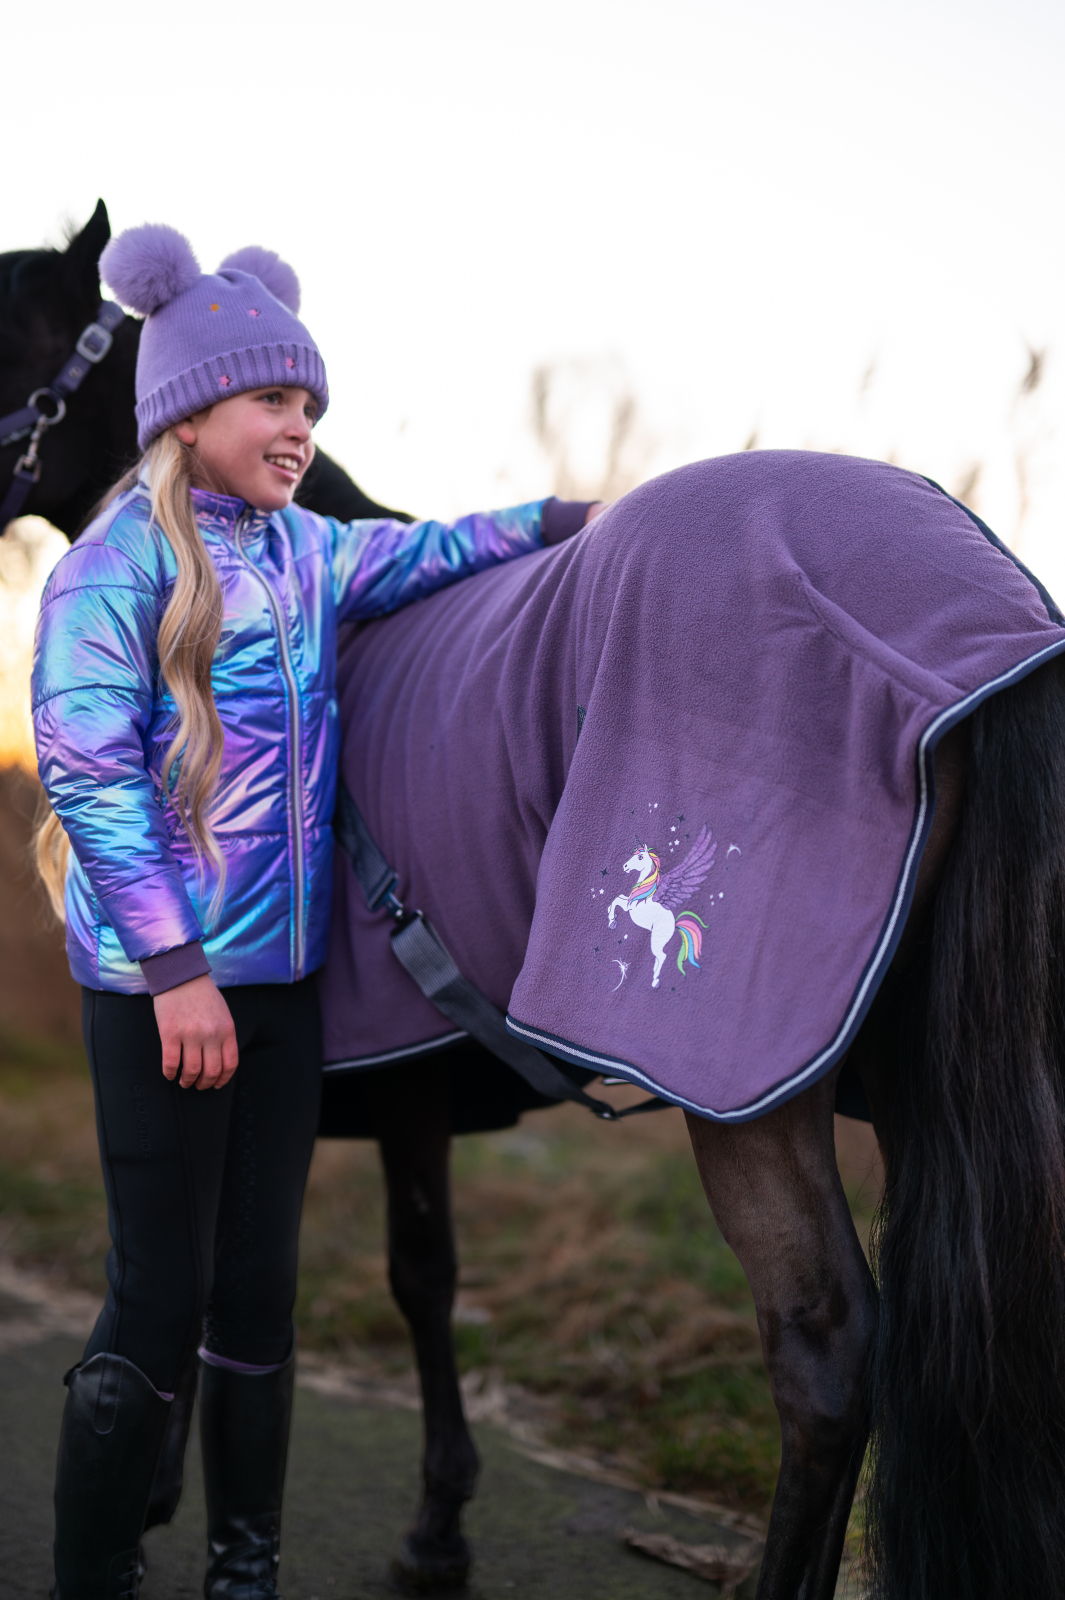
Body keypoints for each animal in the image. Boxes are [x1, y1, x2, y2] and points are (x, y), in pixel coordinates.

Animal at [318, 449, 1065, 1598]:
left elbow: (411, 1273)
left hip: (745, 1091)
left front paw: (434, 1532)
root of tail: (995, 615)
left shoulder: (394, 1073)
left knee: (825, 1350)